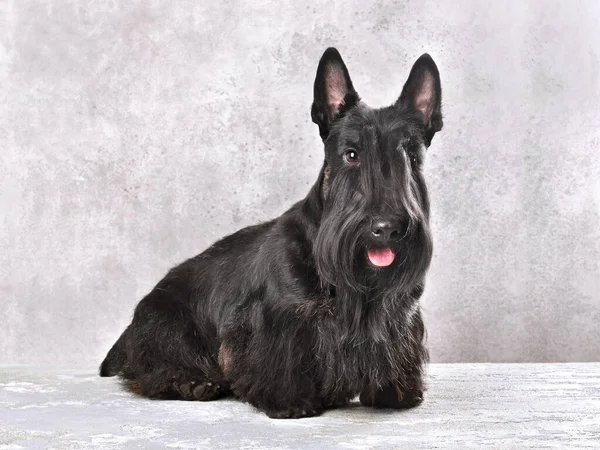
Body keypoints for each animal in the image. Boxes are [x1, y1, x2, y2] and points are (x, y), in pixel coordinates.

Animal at [101, 46, 442, 418]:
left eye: (411, 157)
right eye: (351, 154)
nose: (387, 228)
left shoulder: (400, 319)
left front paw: (394, 391)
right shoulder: (278, 323)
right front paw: (290, 401)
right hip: (165, 326)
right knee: (149, 370)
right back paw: (191, 382)